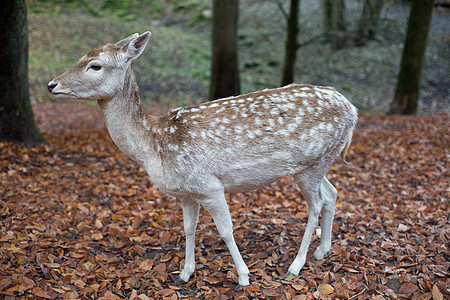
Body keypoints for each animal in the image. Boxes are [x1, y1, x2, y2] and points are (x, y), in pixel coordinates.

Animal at [47, 31, 358, 288]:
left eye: (95, 65)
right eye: (81, 57)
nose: (51, 84)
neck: (153, 146)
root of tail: (352, 109)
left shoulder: (209, 186)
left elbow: (226, 230)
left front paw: (243, 276)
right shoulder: (187, 192)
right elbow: (188, 228)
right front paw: (185, 273)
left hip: (312, 164)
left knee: (316, 204)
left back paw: (296, 265)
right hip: (318, 163)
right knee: (332, 193)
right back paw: (322, 251)